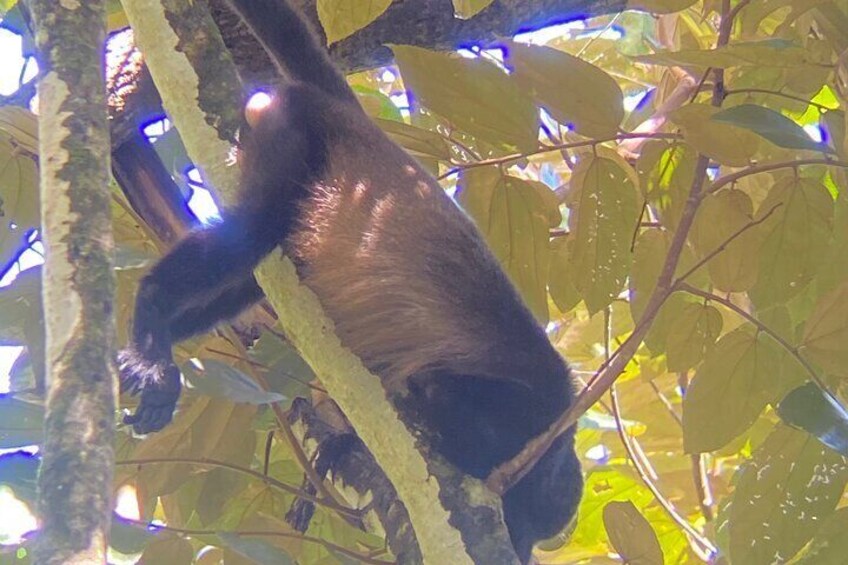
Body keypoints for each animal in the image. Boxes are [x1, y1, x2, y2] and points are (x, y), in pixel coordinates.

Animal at [117, 0, 584, 556]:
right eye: (524, 526)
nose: (522, 551)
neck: (548, 447)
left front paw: (340, 447)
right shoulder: (518, 411)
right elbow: (434, 396)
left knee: (253, 274)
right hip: (292, 132)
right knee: (252, 230)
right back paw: (152, 331)